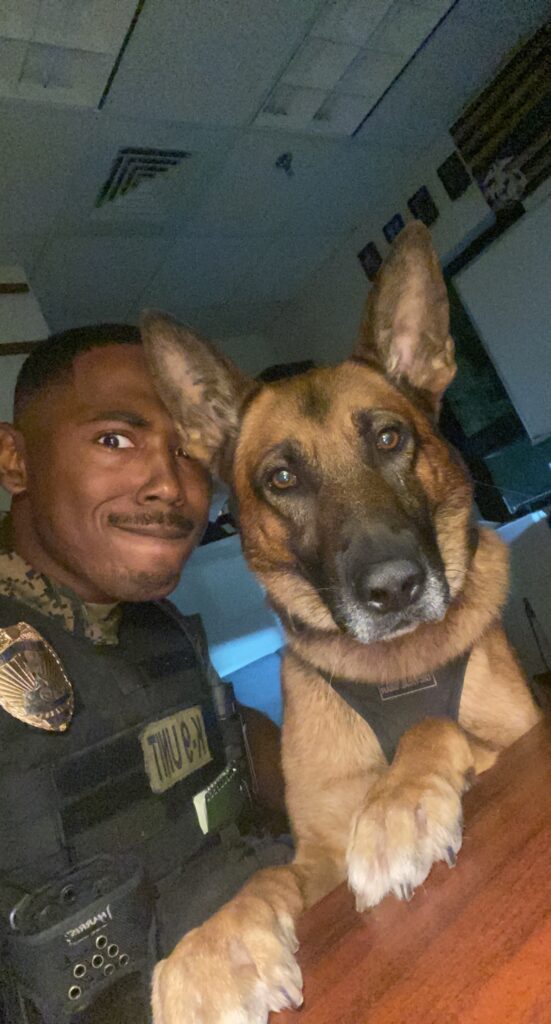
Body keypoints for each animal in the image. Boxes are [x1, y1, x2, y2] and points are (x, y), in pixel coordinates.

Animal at [141, 223, 541, 1024]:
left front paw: (395, 806)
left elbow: (433, 725)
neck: (391, 673)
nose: (395, 589)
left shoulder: (518, 733)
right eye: (282, 478)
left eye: (388, 440)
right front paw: (212, 950)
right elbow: (261, 882)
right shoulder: (313, 858)